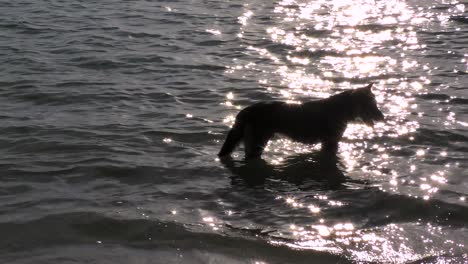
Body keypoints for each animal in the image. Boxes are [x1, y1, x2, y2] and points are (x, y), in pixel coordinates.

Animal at [218, 83, 384, 159]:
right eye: (372, 104)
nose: (383, 117)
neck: (342, 108)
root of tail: (244, 112)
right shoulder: (330, 142)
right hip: (257, 144)